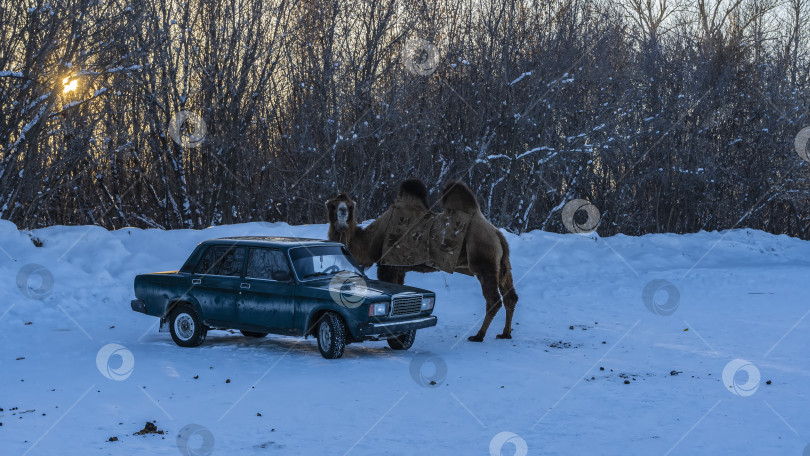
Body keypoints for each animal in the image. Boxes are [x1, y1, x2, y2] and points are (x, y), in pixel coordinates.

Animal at [324, 180, 516, 340]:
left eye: (349, 206)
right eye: (333, 206)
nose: (342, 214)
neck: (371, 241)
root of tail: (496, 233)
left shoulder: (388, 265)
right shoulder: (399, 268)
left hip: (484, 261)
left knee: (493, 300)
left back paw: (478, 335)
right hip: (502, 263)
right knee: (511, 296)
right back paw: (505, 333)